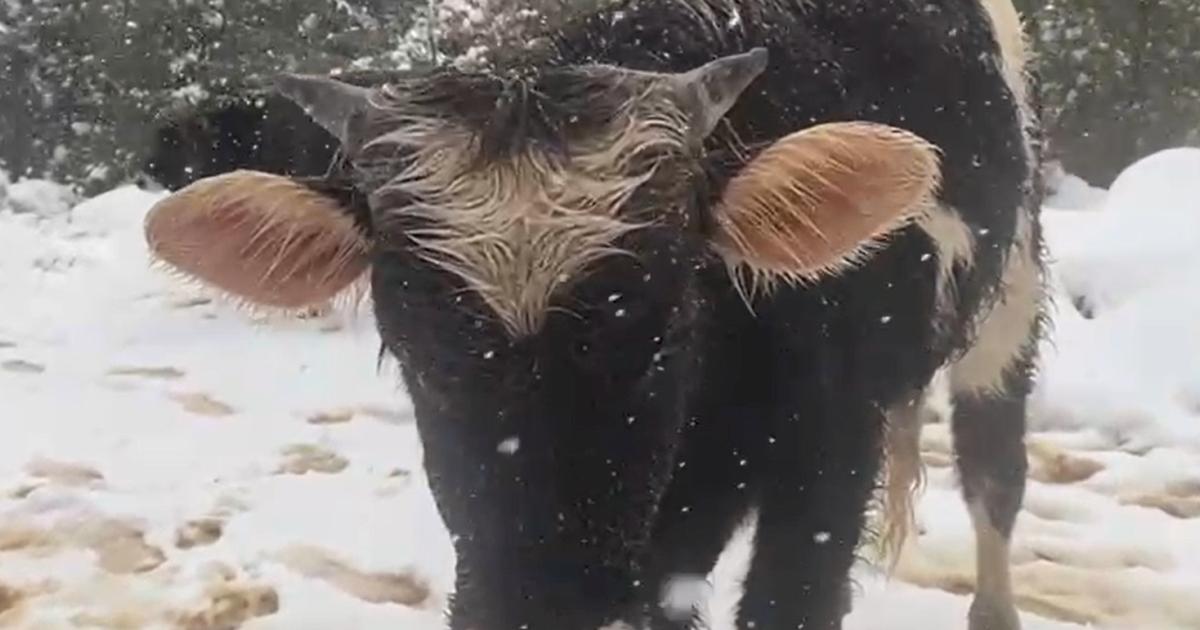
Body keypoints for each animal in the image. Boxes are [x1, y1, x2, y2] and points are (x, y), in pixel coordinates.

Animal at [138, 1, 1041, 628]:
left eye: (664, 336)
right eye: (415, 355)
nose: (544, 601)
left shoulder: (829, 459)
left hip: (1012, 298)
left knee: (994, 474)